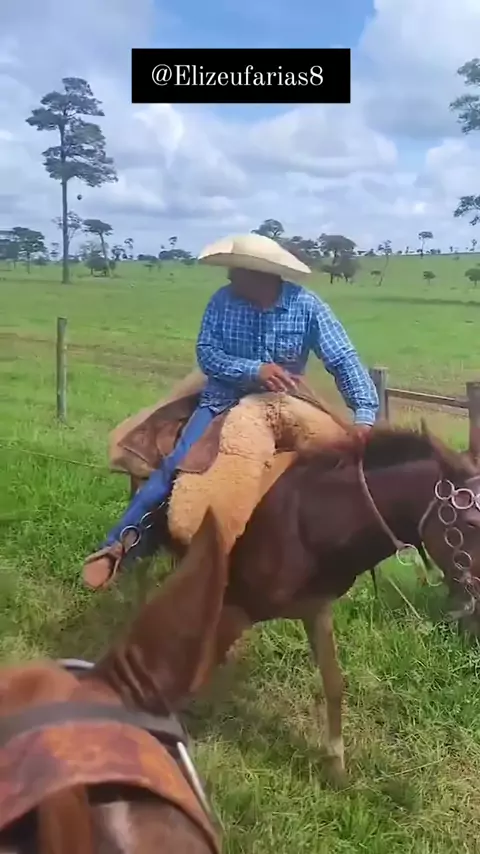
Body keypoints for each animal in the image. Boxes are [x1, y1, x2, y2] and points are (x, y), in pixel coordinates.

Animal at [115, 423, 480, 781]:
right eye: (472, 522)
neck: (308, 524)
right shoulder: (238, 609)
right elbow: (195, 675)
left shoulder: (315, 610)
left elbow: (334, 683)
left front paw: (335, 766)